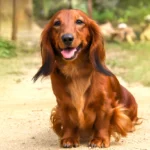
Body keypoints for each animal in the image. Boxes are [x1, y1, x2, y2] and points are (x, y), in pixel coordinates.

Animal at [33, 9, 139, 149]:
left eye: (79, 21)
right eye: (56, 23)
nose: (67, 38)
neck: (75, 71)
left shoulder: (105, 104)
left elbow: (102, 122)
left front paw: (99, 139)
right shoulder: (63, 104)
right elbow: (68, 122)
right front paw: (69, 138)